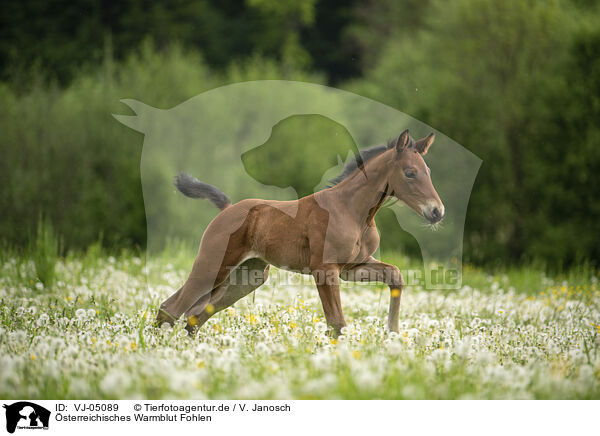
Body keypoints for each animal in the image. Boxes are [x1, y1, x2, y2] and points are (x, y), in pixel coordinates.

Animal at [157, 129, 442, 334]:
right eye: (410, 173)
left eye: (428, 171)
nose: (437, 211)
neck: (353, 211)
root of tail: (227, 209)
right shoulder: (324, 270)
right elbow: (337, 323)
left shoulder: (352, 268)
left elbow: (395, 275)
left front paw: (393, 333)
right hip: (213, 266)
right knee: (172, 307)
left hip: (246, 276)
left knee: (193, 315)